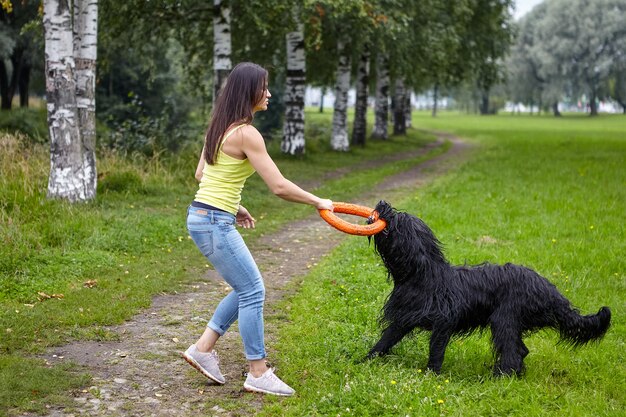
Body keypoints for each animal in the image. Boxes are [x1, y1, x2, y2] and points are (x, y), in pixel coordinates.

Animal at [366, 200, 608, 376]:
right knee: (521, 350)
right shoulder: (404, 318)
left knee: (512, 353)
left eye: (398, 218)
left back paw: (500, 377)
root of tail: (552, 292)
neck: (422, 275)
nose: (382, 203)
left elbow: (436, 349)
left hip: (505, 317)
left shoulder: (444, 321)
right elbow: (385, 340)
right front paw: (364, 361)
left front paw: (431, 375)